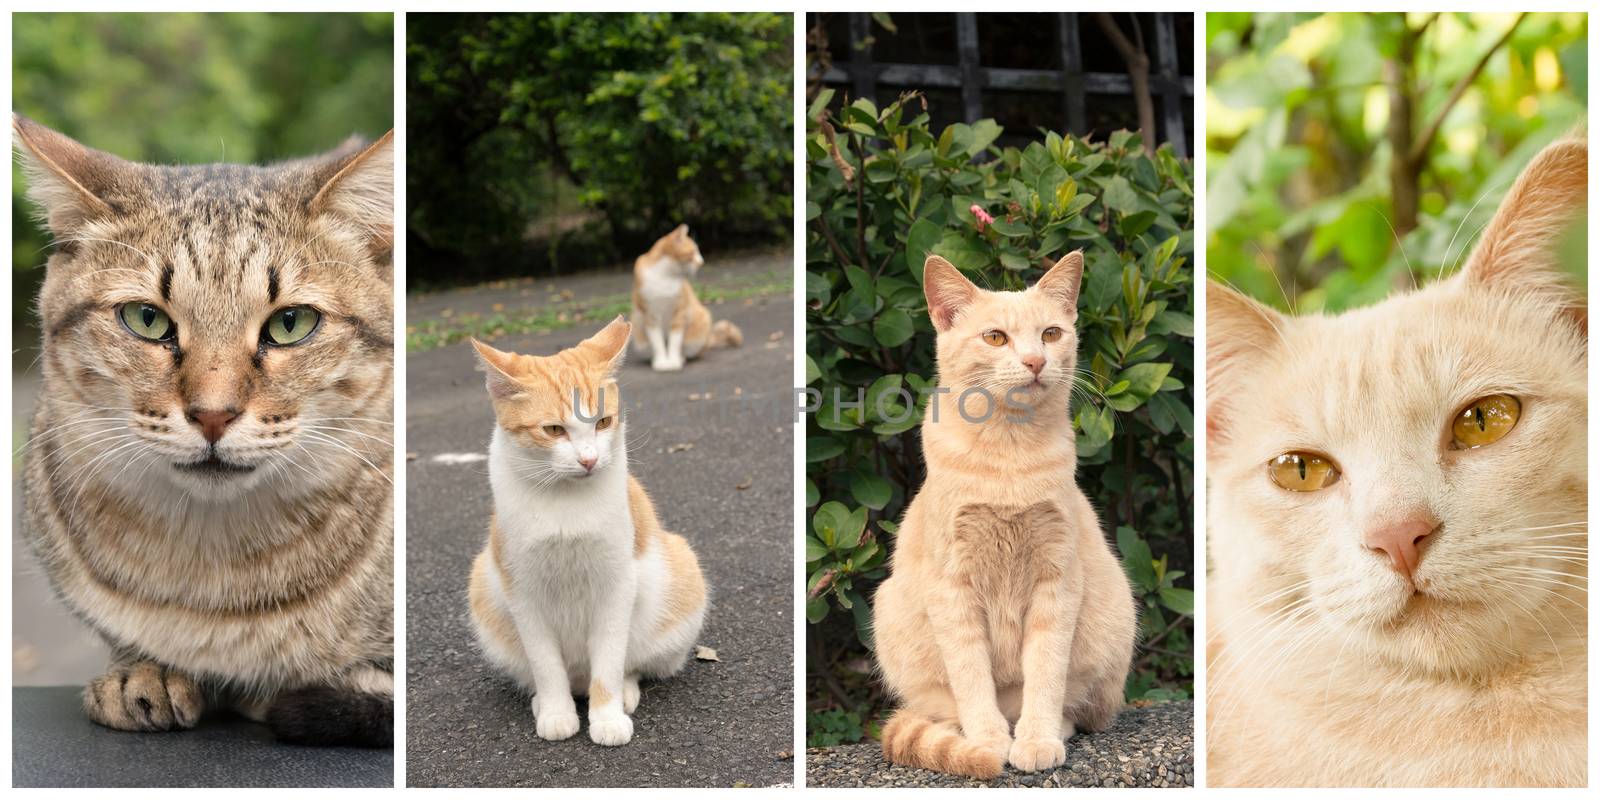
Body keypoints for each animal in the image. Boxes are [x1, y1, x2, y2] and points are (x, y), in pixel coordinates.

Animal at [467, 316, 710, 742]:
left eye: (603, 422)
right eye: (553, 430)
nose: (589, 459)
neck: (566, 503)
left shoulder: (617, 585)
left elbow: (609, 663)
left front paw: (608, 718)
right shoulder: (523, 593)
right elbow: (546, 666)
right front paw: (556, 713)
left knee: (628, 666)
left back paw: (624, 694)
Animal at [630, 224, 742, 369]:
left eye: (698, 252)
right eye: (693, 252)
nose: (702, 262)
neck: (665, 275)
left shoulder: (680, 312)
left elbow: (675, 341)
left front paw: (673, 361)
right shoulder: (649, 315)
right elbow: (657, 342)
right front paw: (661, 362)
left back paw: (682, 358)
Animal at [870, 252, 1145, 777]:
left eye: (1051, 334)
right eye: (995, 337)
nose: (1036, 361)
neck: (1008, 455)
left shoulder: (1056, 582)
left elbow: (1045, 672)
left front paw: (1036, 740)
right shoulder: (952, 588)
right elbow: (972, 677)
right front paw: (986, 742)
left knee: (1079, 709)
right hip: (890, 611)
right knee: (945, 709)